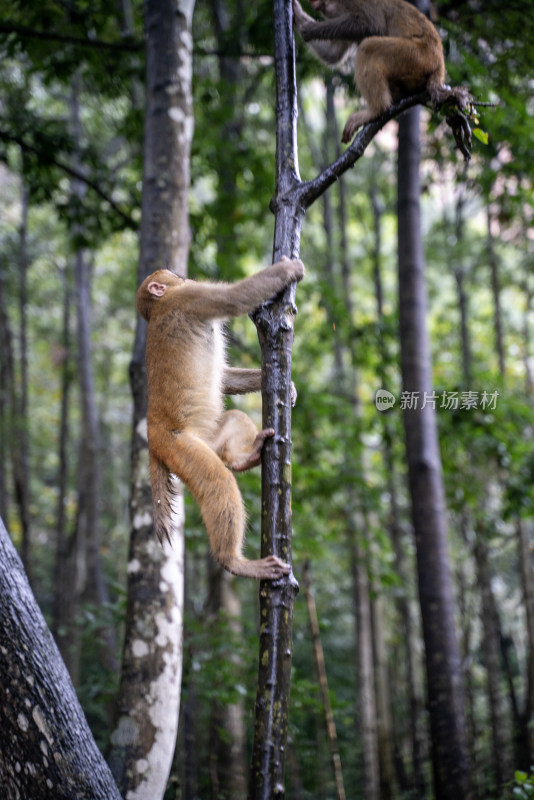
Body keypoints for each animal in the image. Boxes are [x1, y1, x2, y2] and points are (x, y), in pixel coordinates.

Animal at [136, 260, 306, 580]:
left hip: (207, 440)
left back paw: (243, 457)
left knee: (234, 422)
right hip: (179, 446)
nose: (184, 276)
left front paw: (288, 387)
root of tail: (152, 434)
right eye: (175, 277)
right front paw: (288, 269)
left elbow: (225, 379)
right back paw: (233, 561)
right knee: (219, 482)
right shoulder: (188, 297)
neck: (162, 303)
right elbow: (233, 298)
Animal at [294, 0, 474, 150]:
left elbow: (371, 26)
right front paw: (297, 13)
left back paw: (377, 109)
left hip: (416, 56)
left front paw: (310, 29)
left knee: (368, 47)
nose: (314, 2)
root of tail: (440, 65)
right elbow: (333, 54)